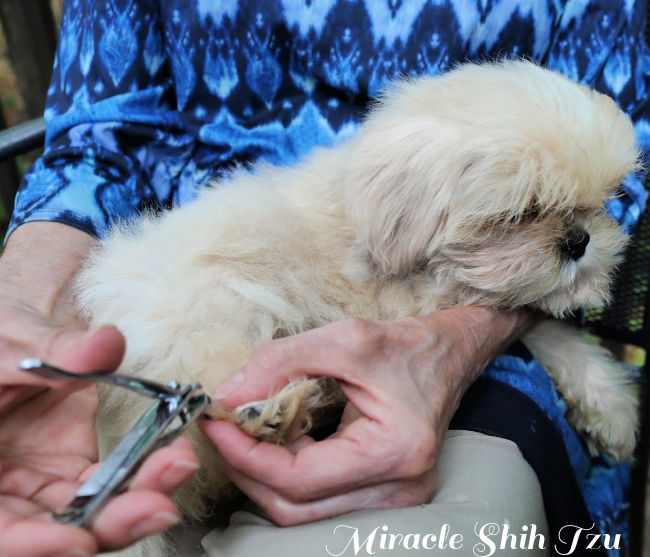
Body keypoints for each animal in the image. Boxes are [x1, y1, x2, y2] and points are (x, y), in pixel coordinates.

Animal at [76, 60, 636, 540]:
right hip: (225, 313)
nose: (579, 241)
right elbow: (532, 313)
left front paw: (610, 407)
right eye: (523, 213)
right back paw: (277, 412)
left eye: (599, 203)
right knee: (217, 395)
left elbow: (547, 327)